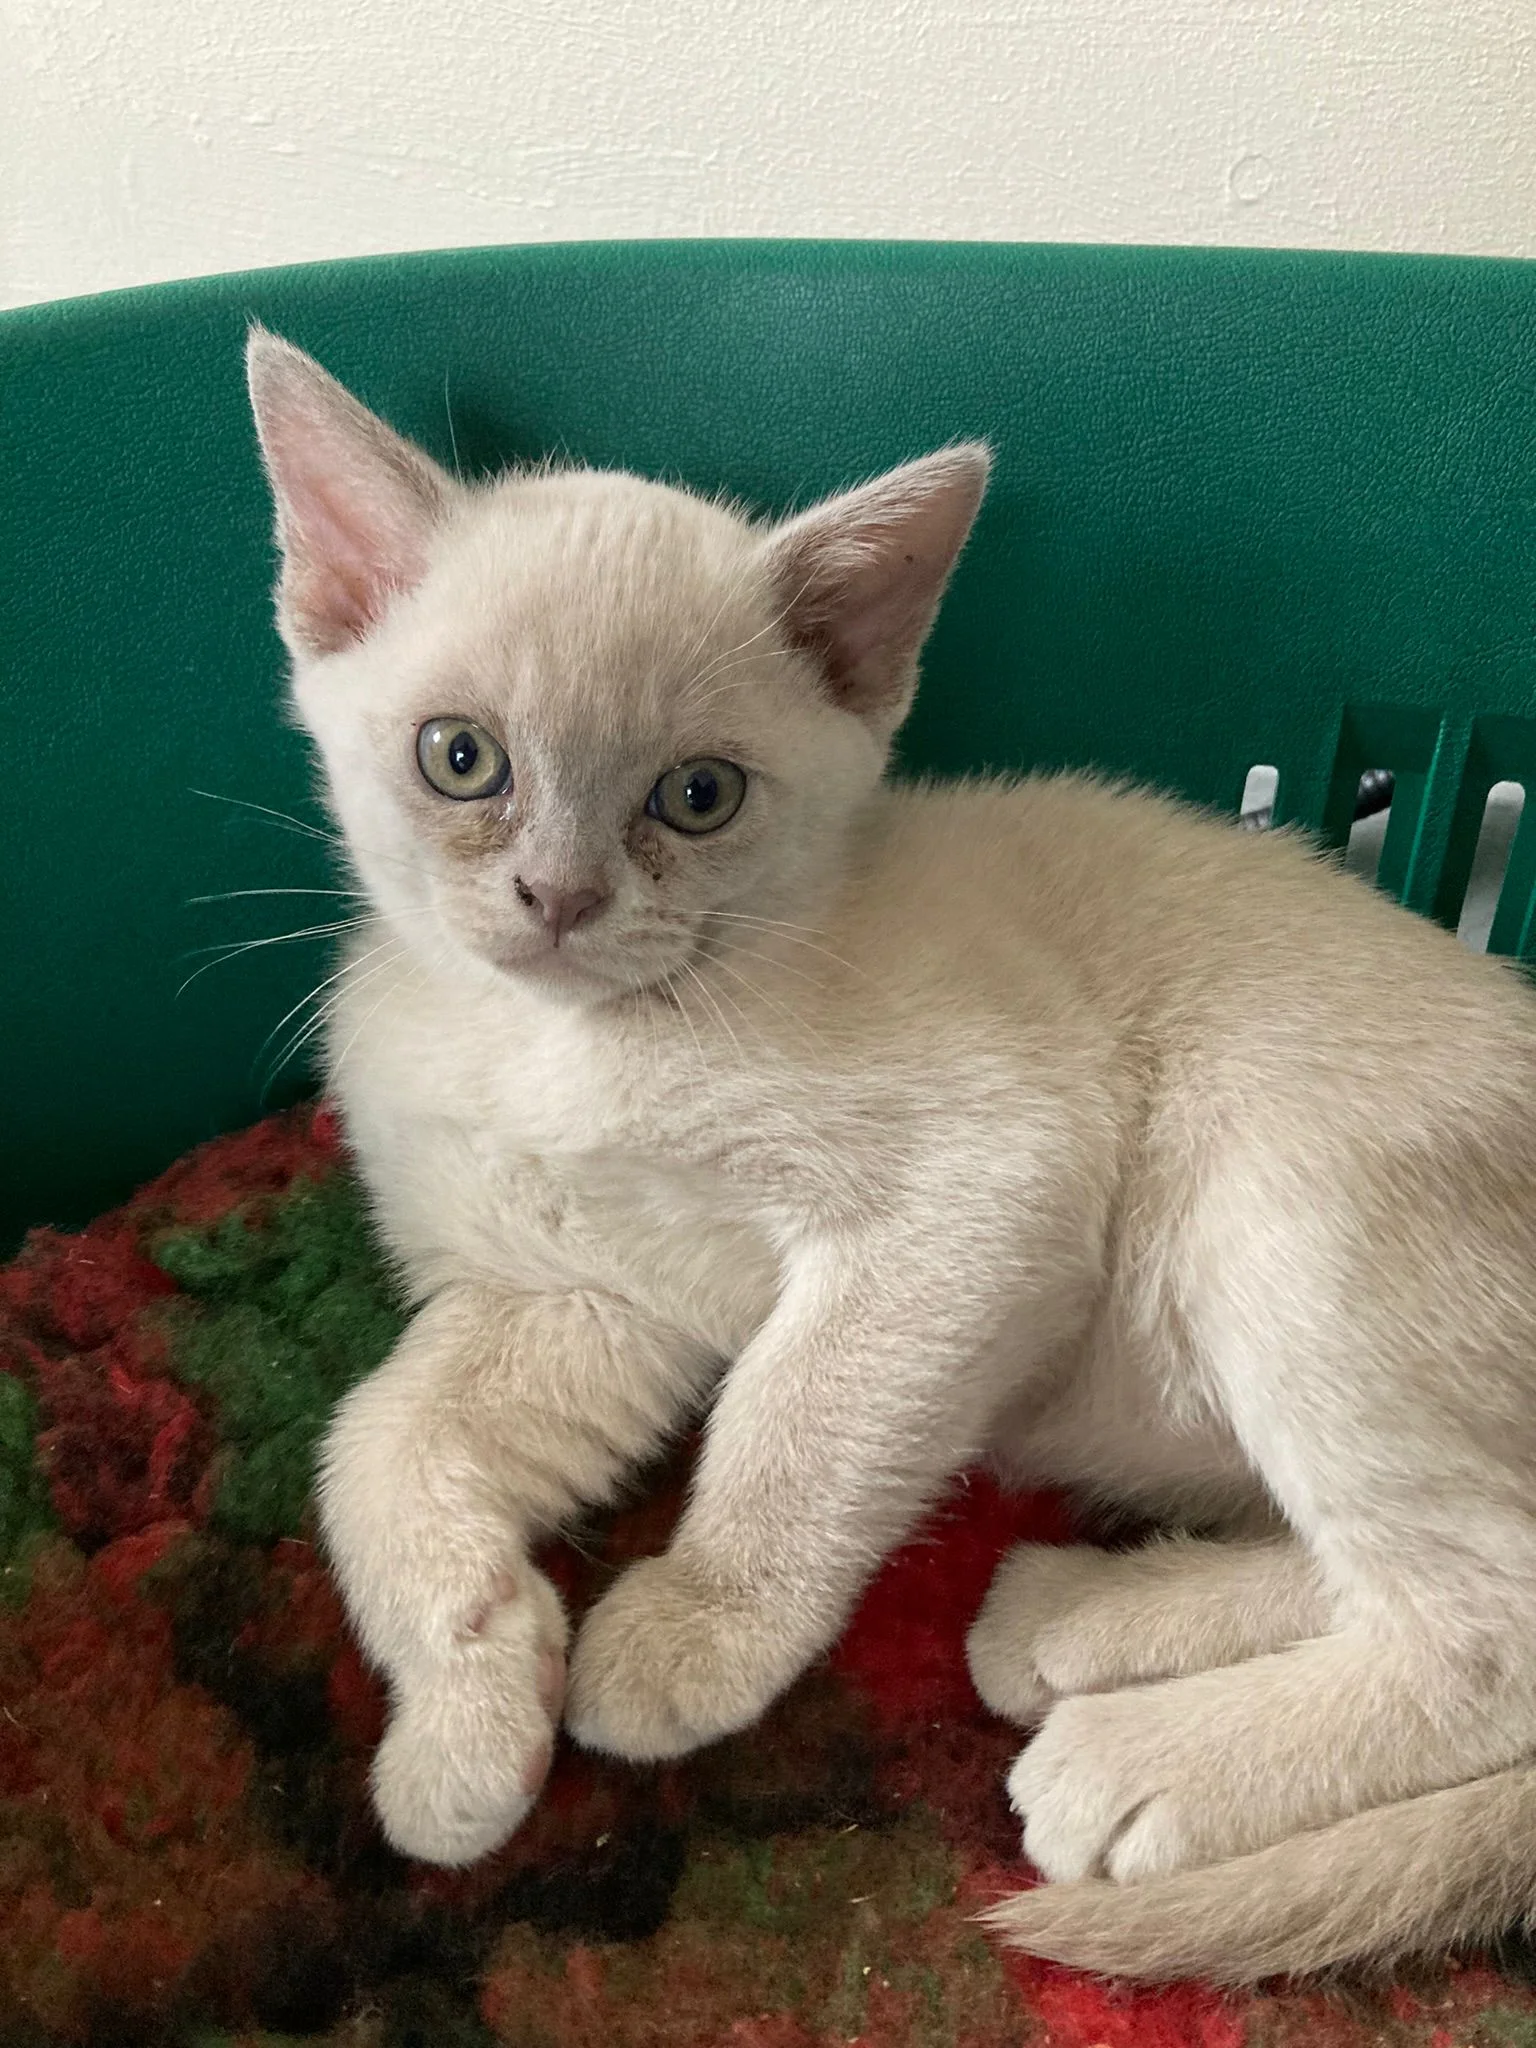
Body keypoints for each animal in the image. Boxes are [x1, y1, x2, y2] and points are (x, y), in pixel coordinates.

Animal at [243, 331, 1536, 1982]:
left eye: (698, 796)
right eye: (461, 760)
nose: (558, 897)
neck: (572, 1042)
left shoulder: (983, 1190)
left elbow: (795, 1426)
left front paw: (689, 1635)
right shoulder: (581, 1297)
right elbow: (375, 1445)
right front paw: (465, 1722)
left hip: (1284, 1207)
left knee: (1494, 1617)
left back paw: (1140, 1763)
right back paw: (1074, 1624)